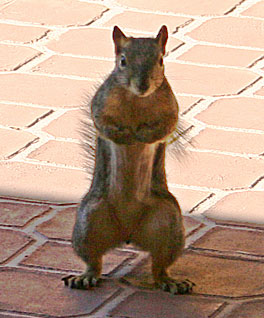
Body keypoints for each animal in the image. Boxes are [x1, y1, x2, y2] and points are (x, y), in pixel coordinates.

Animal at [62, 25, 194, 296]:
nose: (142, 85)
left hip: (169, 225)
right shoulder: (101, 102)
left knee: (160, 265)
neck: (137, 99)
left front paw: (142, 135)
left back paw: (170, 281)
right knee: (93, 261)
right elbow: (101, 122)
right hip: (88, 222)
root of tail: (127, 232)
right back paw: (85, 277)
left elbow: (166, 125)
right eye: (122, 61)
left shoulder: (170, 107)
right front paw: (124, 136)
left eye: (160, 60)